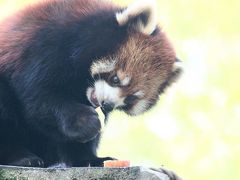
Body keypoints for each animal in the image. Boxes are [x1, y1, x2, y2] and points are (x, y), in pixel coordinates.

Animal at [0, 0, 182, 169]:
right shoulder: (46, 46)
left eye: (130, 99)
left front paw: (88, 159)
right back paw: (20, 157)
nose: (107, 105)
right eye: (115, 79)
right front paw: (84, 121)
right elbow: (39, 97)